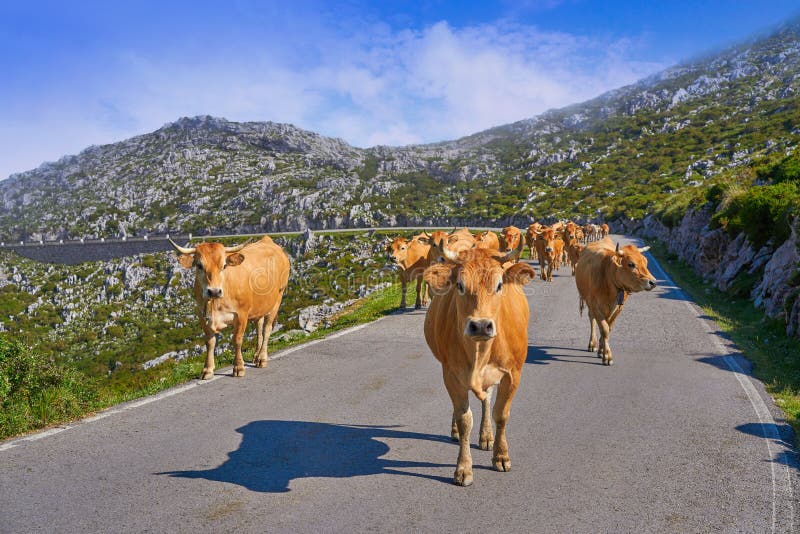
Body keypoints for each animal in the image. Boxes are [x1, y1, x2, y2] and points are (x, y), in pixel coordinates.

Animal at [169, 238, 290, 382]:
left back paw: (262, 358)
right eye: (199, 266)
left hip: (278, 299)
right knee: (259, 327)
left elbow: (237, 340)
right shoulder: (202, 315)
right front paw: (207, 370)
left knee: (266, 329)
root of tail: (267, 240)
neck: (216, 305)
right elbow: (210, 342)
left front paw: (239, 367)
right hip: (260, 306)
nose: (214, 291)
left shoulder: (242, 314)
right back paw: (256, 355)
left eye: (224, 266)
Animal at [422, 241, 536, 488]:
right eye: (460, 285)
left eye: (500, 285)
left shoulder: (513, 374)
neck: (479, 353)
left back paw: (487, 436)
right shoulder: (451, 375)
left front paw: (501, 455)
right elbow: (465, 419)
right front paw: (463, 468)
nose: (481, 325)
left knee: (487, 399)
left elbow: (500, 414)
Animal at [576, 240, 656, 368]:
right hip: (589, 302)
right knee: (592, 318)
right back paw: (592, 344)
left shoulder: (619, 307)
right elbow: (604, 329)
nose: (653, 282)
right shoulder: (595, 304)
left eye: (646, 262)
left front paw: (603, 350)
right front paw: (607, 356)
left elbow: (609, 328)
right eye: (631, 264)